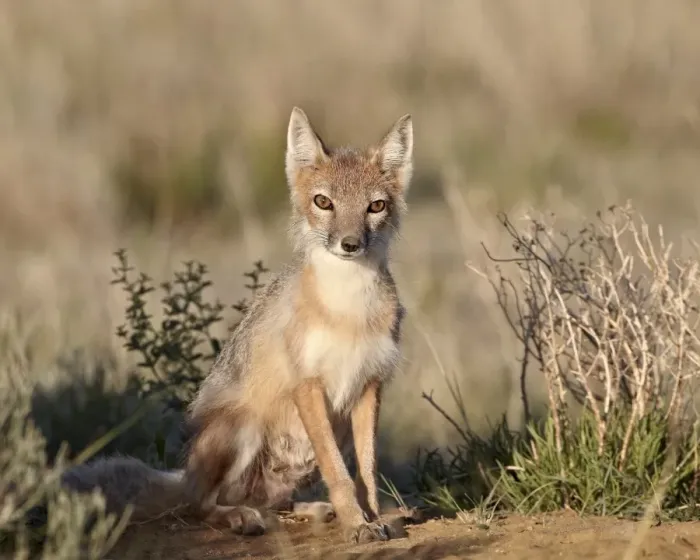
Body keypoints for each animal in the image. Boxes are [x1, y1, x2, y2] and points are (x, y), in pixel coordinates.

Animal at [58, 107, 413, 544]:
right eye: (323, 202)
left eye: (375, 206)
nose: (350, 244)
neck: (349, 310)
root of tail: (185, 475)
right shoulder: (308, 385)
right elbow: (339, 472)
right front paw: (357, 523)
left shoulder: (369, 386)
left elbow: (366, 470)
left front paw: (372, 517)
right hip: (242, 428)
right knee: (201, 506)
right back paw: (242, 518)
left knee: (273, 502)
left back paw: (312, 510)